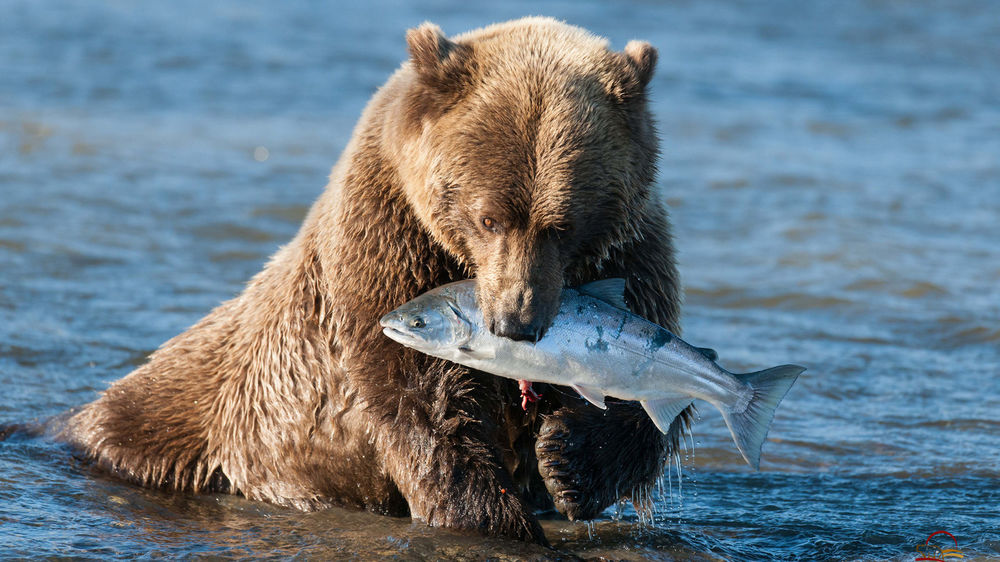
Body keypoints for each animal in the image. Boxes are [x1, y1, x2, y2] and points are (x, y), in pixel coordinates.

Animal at [58, 16, 692, 544]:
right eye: (489, 217)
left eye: (562, 226)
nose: (517, 321)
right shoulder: (387, 241)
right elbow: (422, 397)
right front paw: (493, 516)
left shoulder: (631, 253)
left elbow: (652, 385)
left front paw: (567, 459)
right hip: (195, 413)